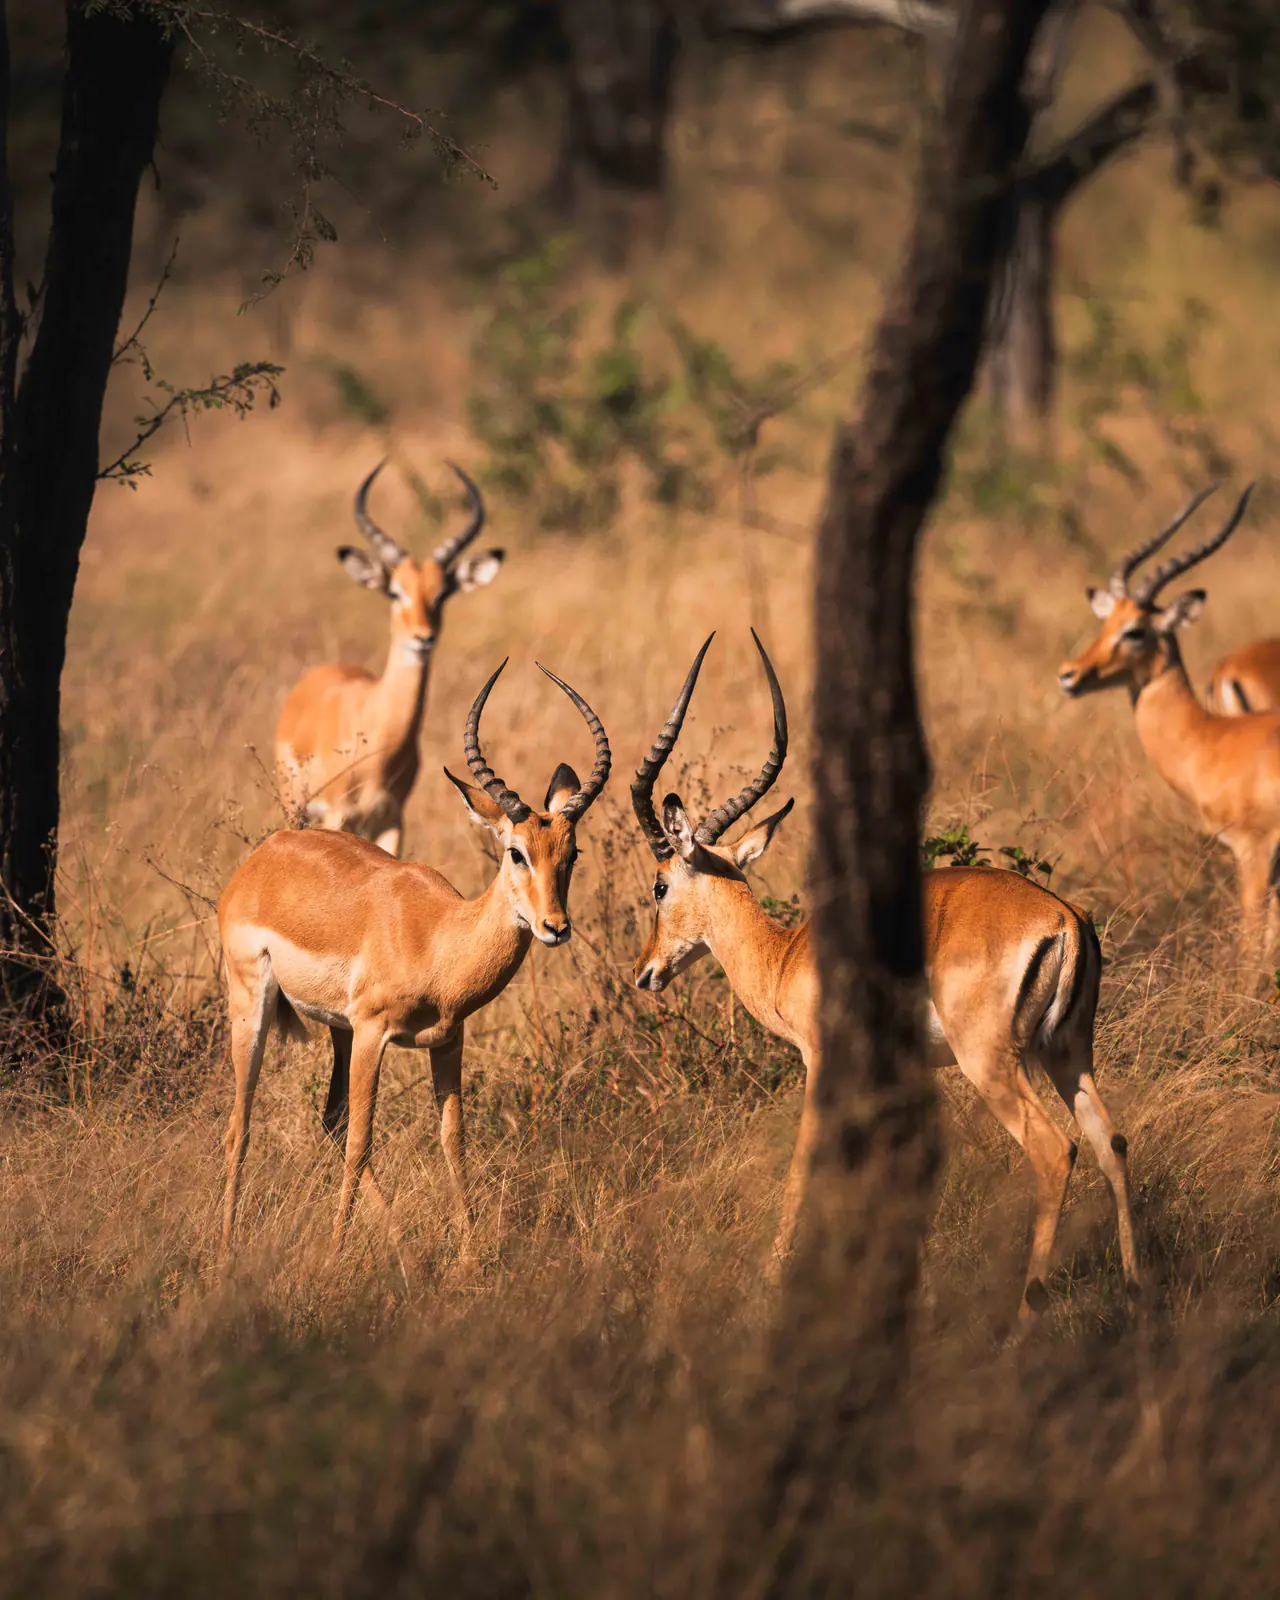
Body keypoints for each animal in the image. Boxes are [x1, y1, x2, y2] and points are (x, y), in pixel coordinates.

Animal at [220, 660, 611, 1251]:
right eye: (515, 852)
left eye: (572, 854)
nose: (555, 927)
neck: (438, 940)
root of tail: (263, 856)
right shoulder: (373, 1034)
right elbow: (363, 1141)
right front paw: (335, 1257)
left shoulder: (447, 1041)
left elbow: (452, 1139)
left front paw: (471, 1255)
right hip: (255, 1006)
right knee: (241, 1125)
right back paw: (220, 1248)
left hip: (337, 1029)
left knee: (330, 1117)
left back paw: (399, 1243)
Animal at [276, 459, 504, 857]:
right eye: (396, 592)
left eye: (442, 594)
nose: (423, 637)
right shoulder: (338, 816)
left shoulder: (392, 822)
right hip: (295, 808)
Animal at [631, 632, 1140, 1323]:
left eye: (660, 885)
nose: (645, 972)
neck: (787, 956)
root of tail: (1063, 917)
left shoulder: (823, 1063)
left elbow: (805, 1164)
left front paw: (772, 1281)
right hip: (1067, 1053)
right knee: (1111, 1143)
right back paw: (1138, 1291)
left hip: (992, 1060)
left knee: (1055, 1151)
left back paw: (1024, 1317)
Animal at [1057, 485, 1279, 962]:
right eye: (1106, 621)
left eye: (1136, 630)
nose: (1069, 674)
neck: (1212, 740)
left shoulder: (1256, 852)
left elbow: (1252, 950)